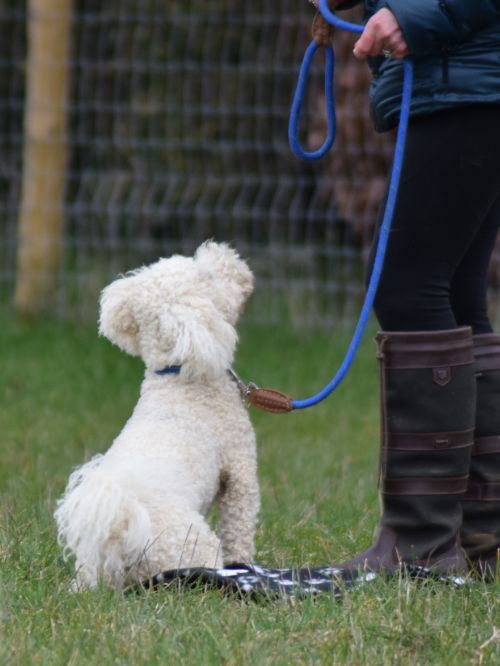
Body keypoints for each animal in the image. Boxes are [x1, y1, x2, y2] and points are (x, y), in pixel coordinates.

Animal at [54, 240, 260, 588]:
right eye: (207, 276)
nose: (225, 252)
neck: (176, 377)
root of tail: (120, 538)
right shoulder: (239, 468)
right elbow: (240, 525)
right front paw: (245, 566)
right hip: (194, 546)